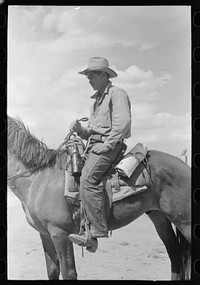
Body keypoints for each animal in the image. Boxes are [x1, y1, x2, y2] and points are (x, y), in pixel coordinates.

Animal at [7, 115, 191, 280]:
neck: (38, 179)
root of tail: (184, 165)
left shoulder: (60, 234)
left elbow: (68, 273)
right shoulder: (45, 234)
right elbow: (52, 271)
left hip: (184, 222)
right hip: (159, 216)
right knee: (175, 255)